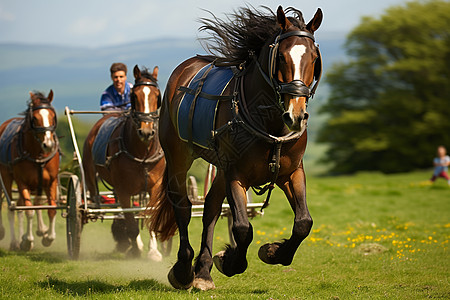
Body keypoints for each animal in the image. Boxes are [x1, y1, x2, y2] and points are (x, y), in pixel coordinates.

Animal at [0, 91, 59, 251]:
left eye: (52, 116)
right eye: (35, 118)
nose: (48, 144)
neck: (37, 154)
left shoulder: (51, 181)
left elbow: (51, 209)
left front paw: (48, 237)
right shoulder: (22, 182)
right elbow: (29, 210)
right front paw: (27, 240)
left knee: (24, 205)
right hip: (6, 178)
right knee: (12, 209)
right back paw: (15, 241)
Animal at [82, 65, 165, 260]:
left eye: (157, 95)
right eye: (134, 96)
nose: (146, 132)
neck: (142, 153)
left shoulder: (156, 186)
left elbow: (149, 216)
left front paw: (153, 251)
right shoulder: (124, 189)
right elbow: (131, 223)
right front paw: (134, 250)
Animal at [148, 5, 324, 290]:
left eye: (313, 58)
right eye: (281, 57)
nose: (295, 115)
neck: (270, 122)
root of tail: (186, 67)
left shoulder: (292, 173)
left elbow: (303, 223)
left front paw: (274, 252)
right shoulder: (236, 175)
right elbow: (242, 228)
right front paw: (230, 262)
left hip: (219, 167)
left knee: (210, 208)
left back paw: (203, 271)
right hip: (178, 157)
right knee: (183, 206)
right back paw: (184, 269)